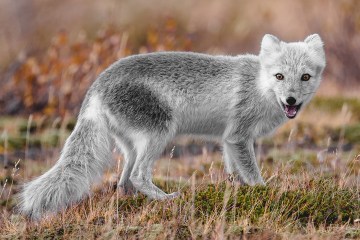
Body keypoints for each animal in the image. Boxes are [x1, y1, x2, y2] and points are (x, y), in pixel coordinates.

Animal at [19, 33, 326, 219]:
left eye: (305, 77)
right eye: (279, 76)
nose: (291, 100)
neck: (260, 86)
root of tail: (97, 84)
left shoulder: (229, 140)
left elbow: (232, 173)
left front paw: (237, 193)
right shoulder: (239, 137)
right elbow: (253, 175)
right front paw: (265, 193)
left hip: (132, 146)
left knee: (123, 180)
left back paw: (132, 203)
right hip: (160, 133)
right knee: (138, 176)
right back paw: (167, 200)